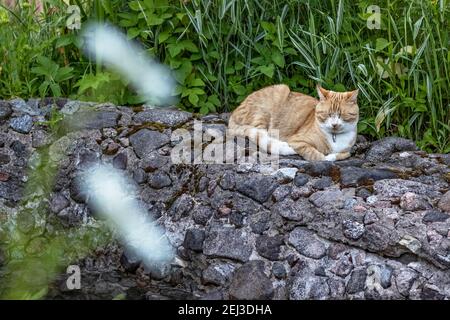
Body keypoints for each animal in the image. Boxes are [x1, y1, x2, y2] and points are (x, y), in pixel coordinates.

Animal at [229, 84, 358, 161]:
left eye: (341, 115)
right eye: (327, 114)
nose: (334, 124)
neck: (335, 137)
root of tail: (234, 111)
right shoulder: (297, 140)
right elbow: (319, 157)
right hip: (269, 105)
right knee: (265, 140)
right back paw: (285, 147)